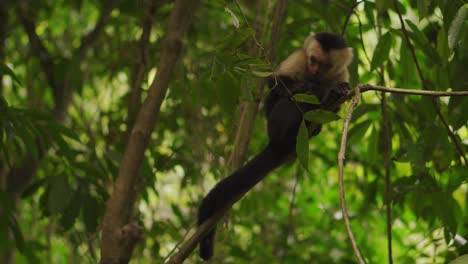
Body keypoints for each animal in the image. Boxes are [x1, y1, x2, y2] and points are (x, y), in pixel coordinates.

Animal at [197, 31, 354, 260]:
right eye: (313, 60)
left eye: (326, 65)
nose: (314, 71)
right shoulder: (298, 59)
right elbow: (276, 85)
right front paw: (313, 89)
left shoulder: (342, 73)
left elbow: (335, 107)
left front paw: (332, 92)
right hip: (274, 126)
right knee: (287, 104)